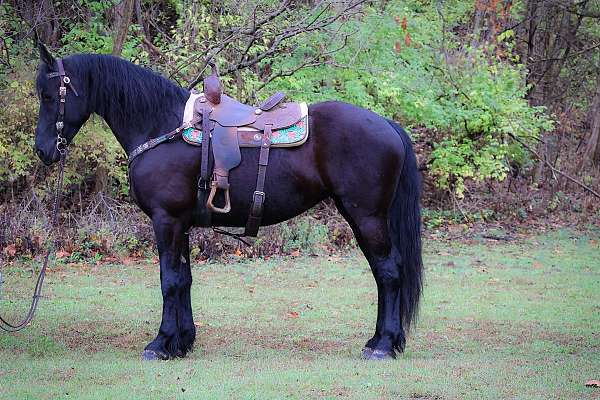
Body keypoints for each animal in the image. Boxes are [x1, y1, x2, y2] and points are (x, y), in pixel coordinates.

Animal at [34, 45, 422, 360]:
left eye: (50, 95)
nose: (42, 150)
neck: (161, 127)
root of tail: (387, 124)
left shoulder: (165, 220)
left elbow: (168, 280)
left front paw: (160, 344)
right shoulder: (181, 224)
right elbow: (184, 279)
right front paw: (182, 342)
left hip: (368, 216)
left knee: (389, 272)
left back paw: (383, 345)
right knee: (383, 273)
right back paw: (379, 341)